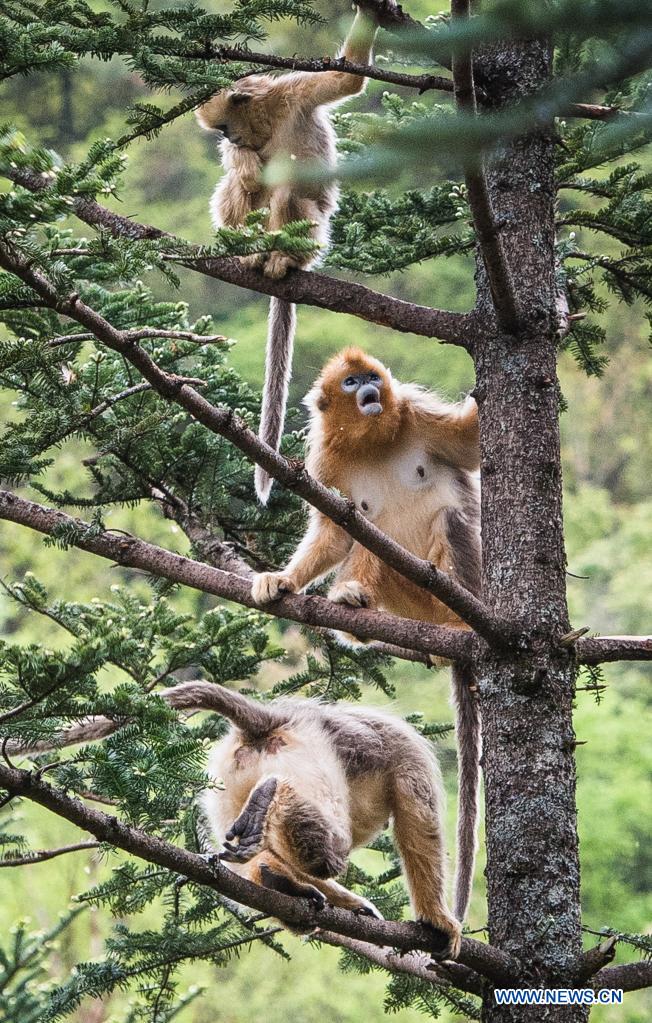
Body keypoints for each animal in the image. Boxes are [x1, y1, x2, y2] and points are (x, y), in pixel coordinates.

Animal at [6, 679, 462, 957]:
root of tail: (270, 720)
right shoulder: (407, 756)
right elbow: (420, 823)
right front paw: (438, 921)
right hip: (304, 751)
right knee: (328, 847)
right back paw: (274, 798)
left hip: (226, 778)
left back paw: (276, 875)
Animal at [195, 7, 384, 503]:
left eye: (224, 127)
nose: (230, 140)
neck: (268, 117)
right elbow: (240, 172)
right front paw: (241, 161)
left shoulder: (296, 93)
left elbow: (345, 78)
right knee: (241, 185)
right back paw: (246, 250)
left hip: (314, 235)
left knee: (285, 190)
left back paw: (281, 260)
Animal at [251, 347, 481, 924]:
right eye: (351, 382)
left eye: (371, 377)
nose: (368, 391)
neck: (372, 440)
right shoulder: (324, 463)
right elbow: (335, 533)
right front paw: (284, 579)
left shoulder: (417, 412)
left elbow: (469, 447)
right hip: (405, 597)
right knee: (362, 533)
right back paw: (353, 602)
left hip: (465, 583)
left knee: (451, 516)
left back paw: (456, 623)